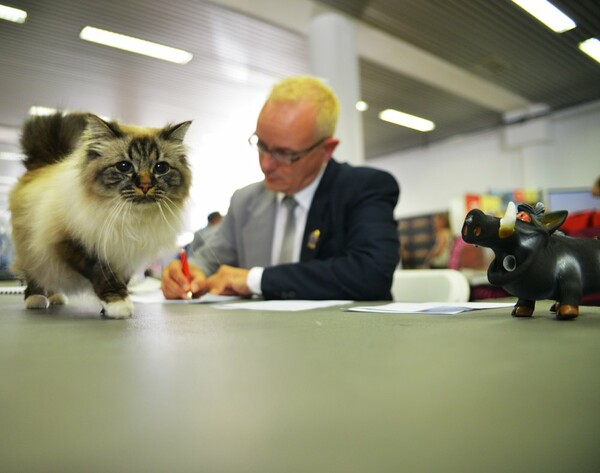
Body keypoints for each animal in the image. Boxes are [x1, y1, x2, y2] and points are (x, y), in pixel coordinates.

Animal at [9, 111, 192, 318]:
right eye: (124, 166)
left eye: (161, 168)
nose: (145, 186)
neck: (131, 218)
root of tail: (43, 165)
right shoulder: (76, 244)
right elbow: (105, 276)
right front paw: (119, 305)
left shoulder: (126, 254)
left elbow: (122, 280)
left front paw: (108, 308)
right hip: (33, 249)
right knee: (36, 276)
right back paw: (37, 299)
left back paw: (56, 297)